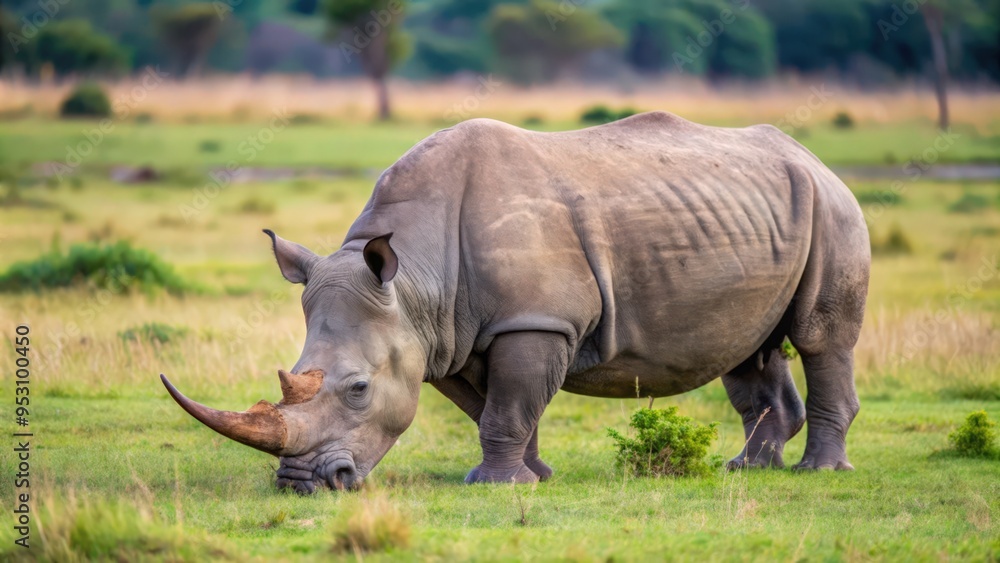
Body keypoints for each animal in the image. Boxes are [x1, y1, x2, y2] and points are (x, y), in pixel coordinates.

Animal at [161, 112, 869, 492]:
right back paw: (746, 469)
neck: (413, 280)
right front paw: (535, 476)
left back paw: (819, 473)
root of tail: (815, 159)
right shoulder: (441, 336)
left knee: (820, 336)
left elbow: (507, 406)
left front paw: (497, 486)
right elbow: (493, 409)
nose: (302, 485)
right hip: (764, 212)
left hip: (832, 207)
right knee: (749, 349)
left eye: (358, 389)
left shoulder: (535, 323)